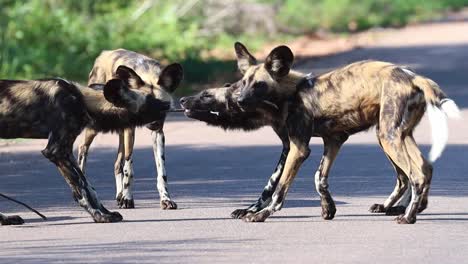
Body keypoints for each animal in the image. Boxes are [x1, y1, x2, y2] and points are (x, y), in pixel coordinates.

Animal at [0, 66, 172, 225]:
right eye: (149, 99)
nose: (168, 104)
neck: (80, 100)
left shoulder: (67, 152)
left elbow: (89, 187)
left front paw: (105, 212)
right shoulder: (56, 151)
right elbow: (81, 188)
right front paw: (99, 216)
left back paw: (6, 219)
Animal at [77, 49, 182, 209]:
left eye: (163, 106)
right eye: (145, 107)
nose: (155, 124)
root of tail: (104, 53)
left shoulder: (158, 134)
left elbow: (161, 171)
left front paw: (166, 199)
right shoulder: (130, 129)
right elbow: (129, 169)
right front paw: (128, 199)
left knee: (117, 164)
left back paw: (119, 195)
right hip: (96, 126)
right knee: (82, 148)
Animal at [181, 42, 462, 224]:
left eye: (258, 84)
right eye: (244, 83)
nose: (238, 99)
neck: (289, 95)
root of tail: (414, 76)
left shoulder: (298, 148)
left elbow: (279, 188)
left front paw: (261, 215)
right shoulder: (329, 141)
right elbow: (316, 178)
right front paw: (328, 210)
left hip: (389, 137)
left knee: (414, 175)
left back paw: (408, 216)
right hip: (393, 136)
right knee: (423, 168)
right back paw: (405, 208)